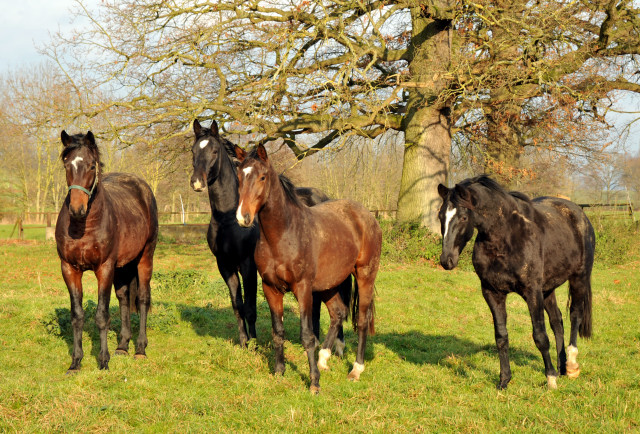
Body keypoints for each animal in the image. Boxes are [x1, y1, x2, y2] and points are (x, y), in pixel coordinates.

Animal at [56, 130, 159, 372]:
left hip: (145, 258)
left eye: (92, 165)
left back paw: (140, 349)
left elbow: (102, 315)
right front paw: (76, 362)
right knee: (123, 298)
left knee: (142, 299)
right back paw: (122, 346)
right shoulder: (69, 269)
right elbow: (77, 316)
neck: (83, 227)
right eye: (66, 164)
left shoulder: (104, 268)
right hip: (122, 266)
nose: (77, 209)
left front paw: (103, 361)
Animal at [190, 119, 350, 352]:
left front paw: (254, 344)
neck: (228, 220)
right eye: (193, 150)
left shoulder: (248, 265)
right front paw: (243, 342)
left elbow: (250, 307)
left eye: (214, 151)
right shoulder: (225, 265)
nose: (197, 182)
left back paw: (335, 345)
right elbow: (237, 305)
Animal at [238, 145, 382, 394]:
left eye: (262, 177)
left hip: (365, 276)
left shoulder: (303, 289)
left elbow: (307, 336)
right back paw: (324, 358)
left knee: (362, 320)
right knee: (338, 314)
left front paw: (314, 383)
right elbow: (278, 332)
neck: (283, 235)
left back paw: (356, 369)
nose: (243, 217)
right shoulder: (270, 288)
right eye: (239, 176)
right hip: (329, 284)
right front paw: (279, 371)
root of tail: (367, 216)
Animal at [436, 176, 596, 390]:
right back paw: (561, 367)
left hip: (579, 278)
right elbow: (501, 337)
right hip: (548, 289)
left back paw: (570, 365)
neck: (506, 238)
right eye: (440, 216)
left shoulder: (532, 292)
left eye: (463, 218)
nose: (447, 260)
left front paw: (550, 379)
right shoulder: (492, 292)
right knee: (557, 322)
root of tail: (579, 214)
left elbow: (540, 336)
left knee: (575, 316)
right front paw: (504, 380)